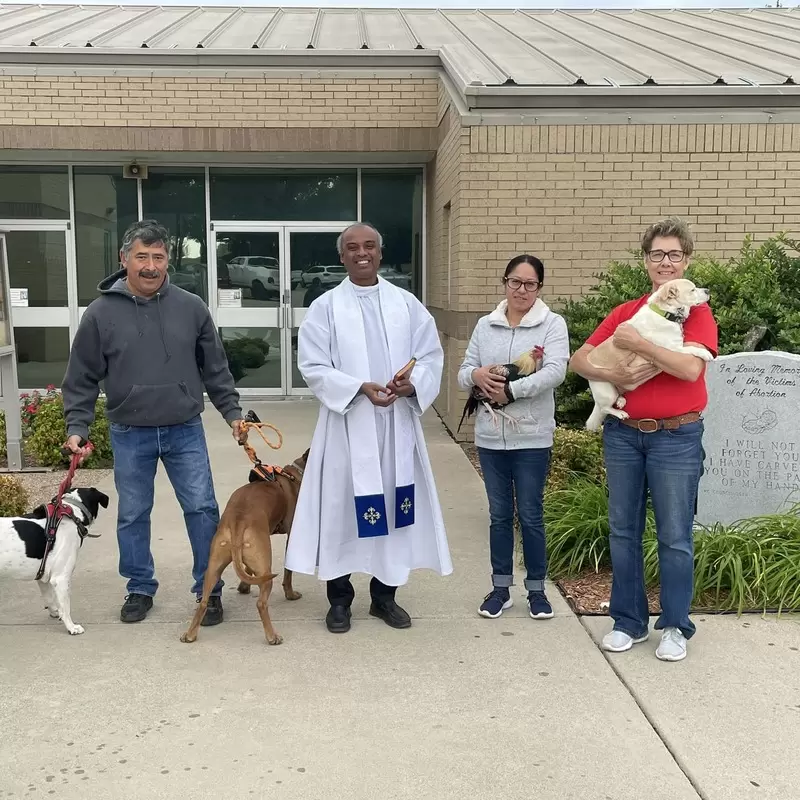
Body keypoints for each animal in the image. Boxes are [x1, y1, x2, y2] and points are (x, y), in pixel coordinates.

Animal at [0, 484, 108, 636]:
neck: (73, 513)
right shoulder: (61, 578)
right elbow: (66, 607)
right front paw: (71, 627)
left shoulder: (42, 575)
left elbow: (49, 598)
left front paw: (55, 612)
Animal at [181, 446, 310, 648]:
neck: (294, 475)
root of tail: (238, 521)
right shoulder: (291, 537)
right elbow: (288, 572)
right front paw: (290, 594)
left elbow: (246, 569)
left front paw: (244, 586)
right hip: (265, 566)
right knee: (261, 604)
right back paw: (272, 636)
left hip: (213, 567)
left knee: (203, 602)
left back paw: (190, 634)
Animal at [584, 280, 716, 434]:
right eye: (692, 290)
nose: (708, 290)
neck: (665, 313)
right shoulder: (673, 349)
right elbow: (690, 348)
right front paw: (705, 353)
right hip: (606, 389)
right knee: (605, 408)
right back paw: (620, 413)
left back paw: (621, 400)